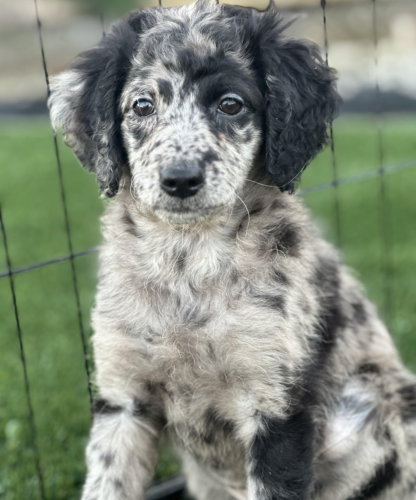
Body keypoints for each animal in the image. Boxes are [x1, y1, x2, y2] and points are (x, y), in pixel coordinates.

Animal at [47, 0, 416, 500]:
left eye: (231, 104)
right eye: (143, 105)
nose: (180, 179)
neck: (187, 264)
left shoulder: (277, 406)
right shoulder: (123, 398)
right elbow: (108, 483)